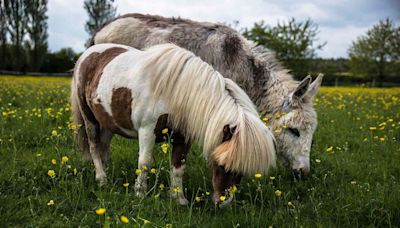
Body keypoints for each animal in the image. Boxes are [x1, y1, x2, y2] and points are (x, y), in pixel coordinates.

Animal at [70, 42, 276, 205]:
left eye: (241, 172)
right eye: (222, 165)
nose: (223, 203)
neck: (176, 92)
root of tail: (88, 54)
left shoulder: (183, 138)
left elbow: (178, 167)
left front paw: (179, 199)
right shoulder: (147, 131)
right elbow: (144, 162)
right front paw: (140, 194)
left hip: (108, 121)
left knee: (104, 146)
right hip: (89, 119)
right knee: (94, 147)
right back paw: (102, 179)